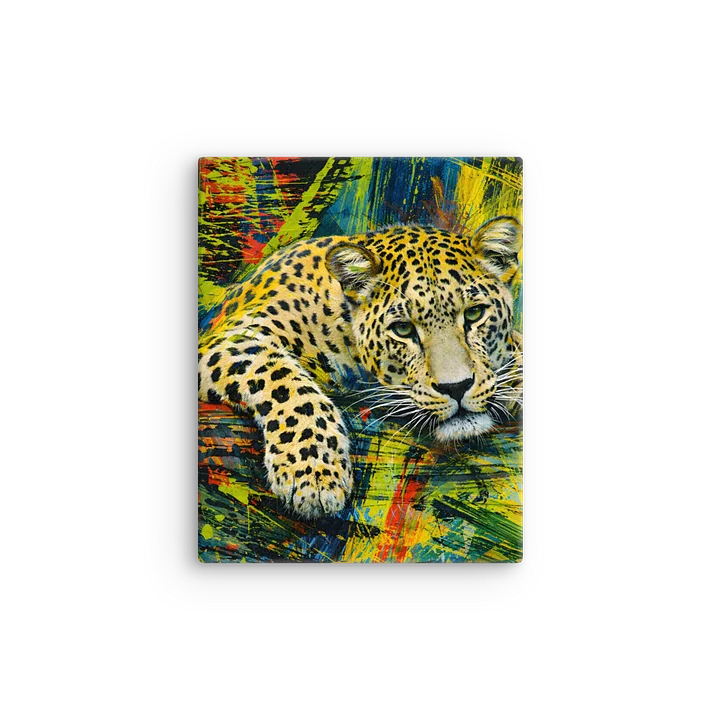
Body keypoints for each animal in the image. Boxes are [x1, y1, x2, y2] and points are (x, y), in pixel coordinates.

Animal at [198, 216, 524, 520]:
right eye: (403, 329)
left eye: (475, 313)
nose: (456, 387)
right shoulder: (231, 338)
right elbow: (285, 381)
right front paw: (313, 471)